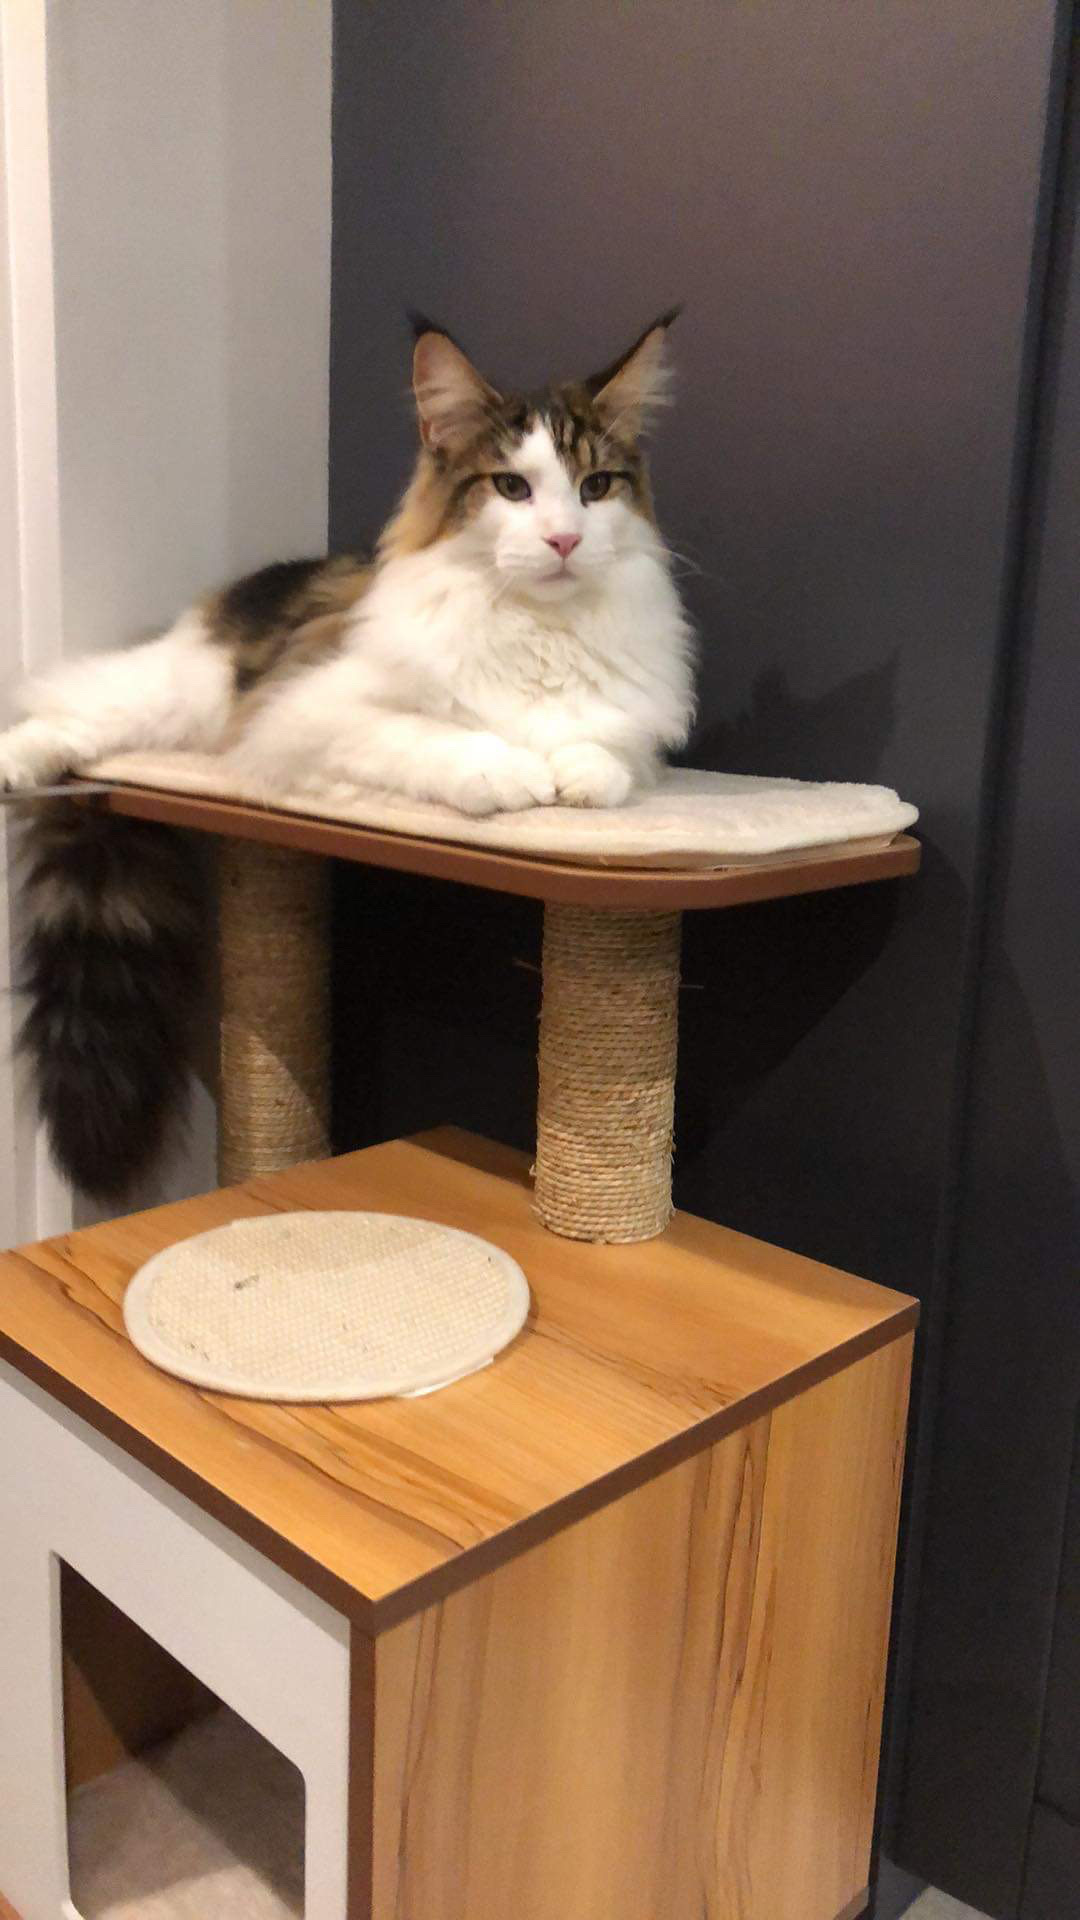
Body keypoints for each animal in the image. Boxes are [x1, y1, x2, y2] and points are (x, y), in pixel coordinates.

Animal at [1, 312, 696, 1197]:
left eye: (596, 487)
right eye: (512, 488)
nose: (565, 539)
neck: (538, 628)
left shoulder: (638, 738)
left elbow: (607, 759)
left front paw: (571, 775)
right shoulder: (317, 709)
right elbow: (441, 738)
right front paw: (508, 772)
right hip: (175, 694)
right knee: (66, 708)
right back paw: (15, 761)